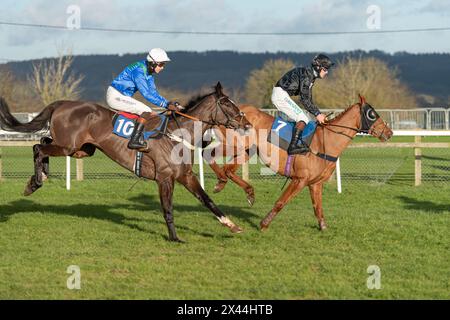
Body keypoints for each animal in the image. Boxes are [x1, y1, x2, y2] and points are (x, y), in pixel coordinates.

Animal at [0, 81, 253, 241]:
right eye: (227, 104)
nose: (247, 124)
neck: (177, 134)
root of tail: (62, 103)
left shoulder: (185, 176)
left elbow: (208, 200)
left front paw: (232, 225)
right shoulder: (165, 178)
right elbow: (168, 208)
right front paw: (174, 238)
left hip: (81, 149)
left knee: (43, 141)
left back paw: (37, 178)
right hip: (69, 146)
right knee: (38, 147)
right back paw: (35, 182)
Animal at [202, 96, 392, 231]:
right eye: (372, 114)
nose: (389, 132)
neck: (325, 141)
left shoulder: (315, 184)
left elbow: (318, 208)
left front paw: (323, 227)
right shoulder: (299, 180)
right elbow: (281, 202)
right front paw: (264, 224)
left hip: (246, 151)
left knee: (228, 170)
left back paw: (243, 190)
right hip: (233, 145)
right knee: (208, 154)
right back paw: (221, 183)